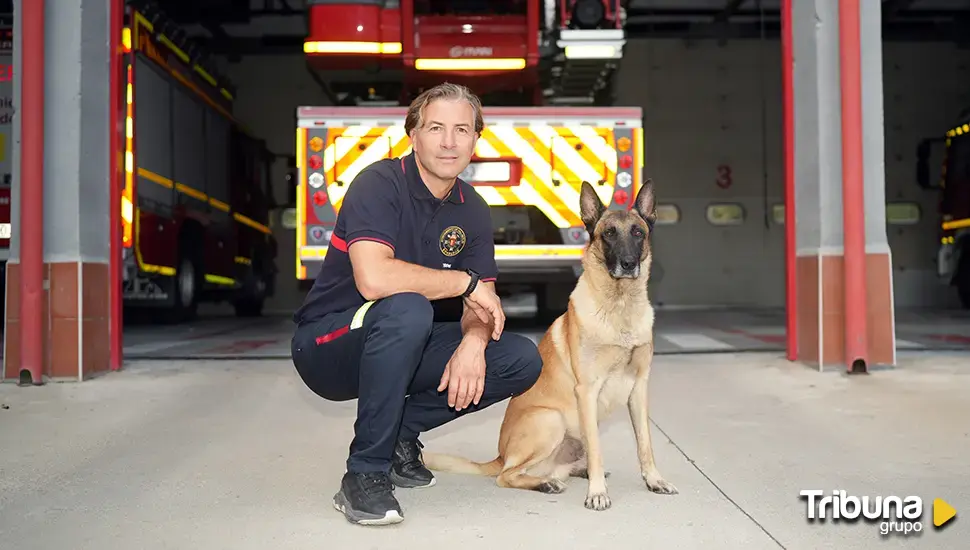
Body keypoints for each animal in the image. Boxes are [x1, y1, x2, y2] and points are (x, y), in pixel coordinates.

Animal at [420, 180, 676, 512]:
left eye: (638, 232)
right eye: (608, 233)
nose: (629, 264)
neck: (619, 308)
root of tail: (500, 455)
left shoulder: (639, 390)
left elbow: (645, 443)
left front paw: (653, 480)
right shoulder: (587, 392)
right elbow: (597, 449)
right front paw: (597, 492)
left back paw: (570, 472)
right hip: (550, 420)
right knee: (507, 476)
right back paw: (546, 483)